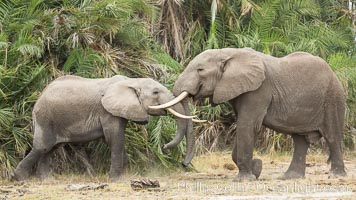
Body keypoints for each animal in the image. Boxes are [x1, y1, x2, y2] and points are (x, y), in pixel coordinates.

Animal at [13, 75, 197, 181]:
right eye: (156, 92)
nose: (164, 148)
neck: (131, 80)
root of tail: (39, 97)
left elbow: (118, 138)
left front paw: (124, 176)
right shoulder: (107, 111)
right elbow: (114, 138)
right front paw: (117, 180)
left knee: (51, 148)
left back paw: (47, 181)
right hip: (46, 117)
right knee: (43, 147)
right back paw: (19, 178)